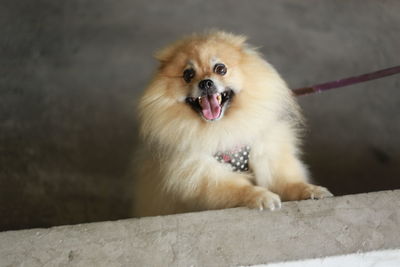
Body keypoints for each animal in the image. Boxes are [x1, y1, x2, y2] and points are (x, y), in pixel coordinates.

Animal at [133, 30, 332, 218]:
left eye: (221, 69)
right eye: (188, 75)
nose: (206, 83)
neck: (223, 128)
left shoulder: (268, 156)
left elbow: (289, 183)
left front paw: (311, 190)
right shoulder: (203, 174)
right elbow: (238, 189)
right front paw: (262, 196)